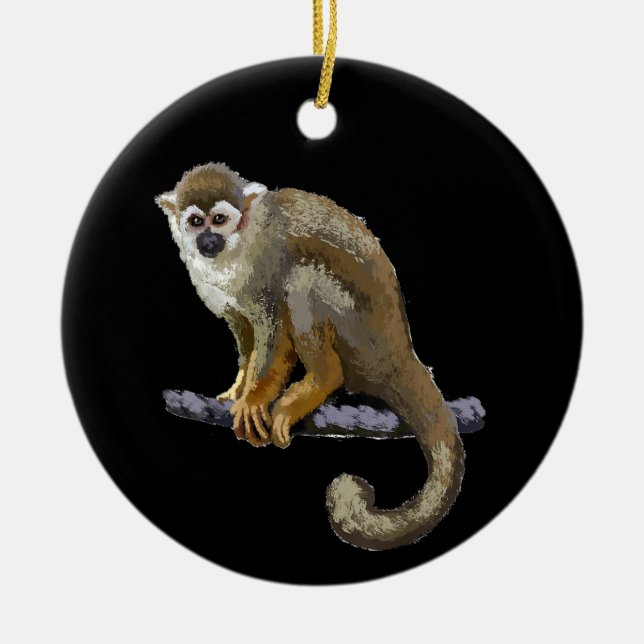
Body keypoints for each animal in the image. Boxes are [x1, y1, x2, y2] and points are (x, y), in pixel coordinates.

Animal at [155, 162, 465, 550]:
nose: (207, 242)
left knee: (302, 277)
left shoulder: (268, 261)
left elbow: (273, 325)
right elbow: (243, 329)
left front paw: (255, 398)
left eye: (220, 220)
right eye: (196, 222)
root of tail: (400, 350)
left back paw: (321, 380)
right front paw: (239, 389)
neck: (238, 248)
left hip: (361, 339)